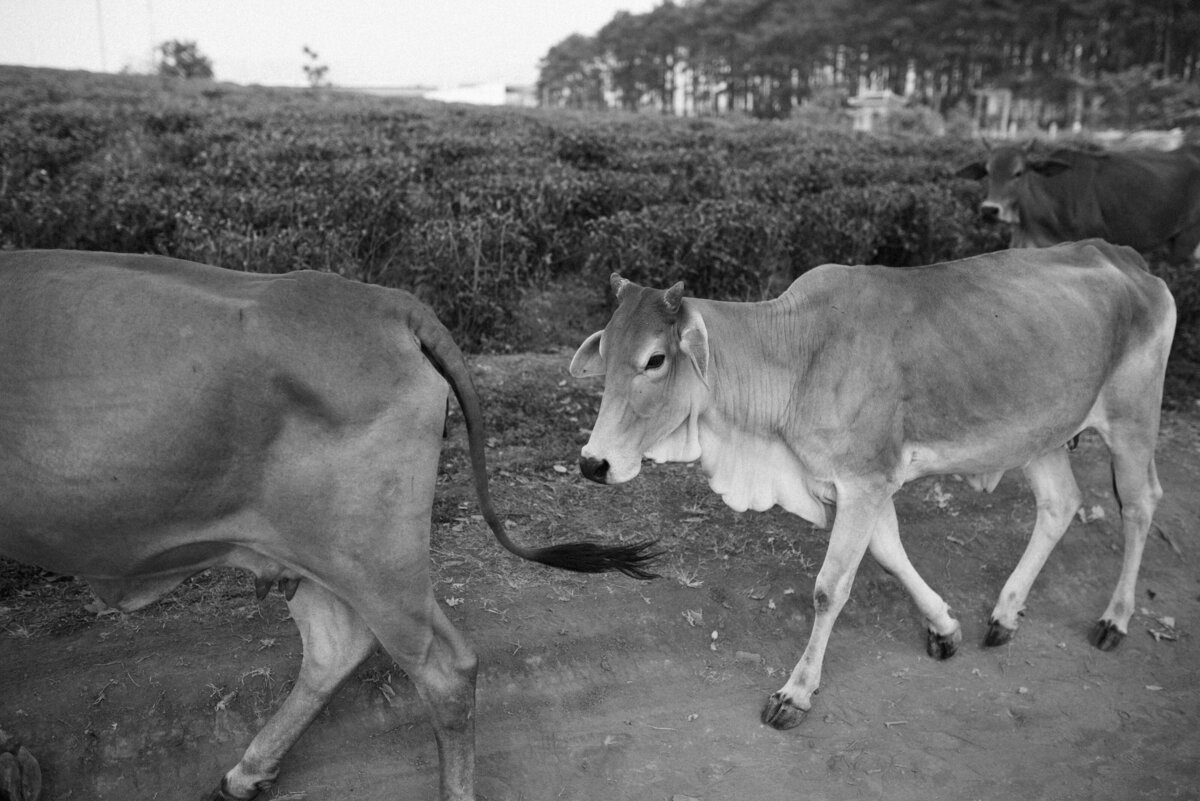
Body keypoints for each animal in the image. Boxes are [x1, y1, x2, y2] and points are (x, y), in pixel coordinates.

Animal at [0, 250, 657, 801]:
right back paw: (245, 774)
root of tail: (387, 301)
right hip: (320, 552)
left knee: (443, 669)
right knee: (336, 649)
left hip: (373, 556)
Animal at [568, 242, 1171, 733]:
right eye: (606, 356)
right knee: (1059, 505)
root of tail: (1124, 257)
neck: (798, 355)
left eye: (654, 359)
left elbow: (829, 588)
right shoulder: (856, 485)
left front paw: (796, 693)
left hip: (1132, 420)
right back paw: (1004, 615)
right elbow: (889, 556)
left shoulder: (864, 480)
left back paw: (1115, 618)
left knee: (1140, 506)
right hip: (1041, 435)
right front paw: (944, 629)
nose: (594, 463)